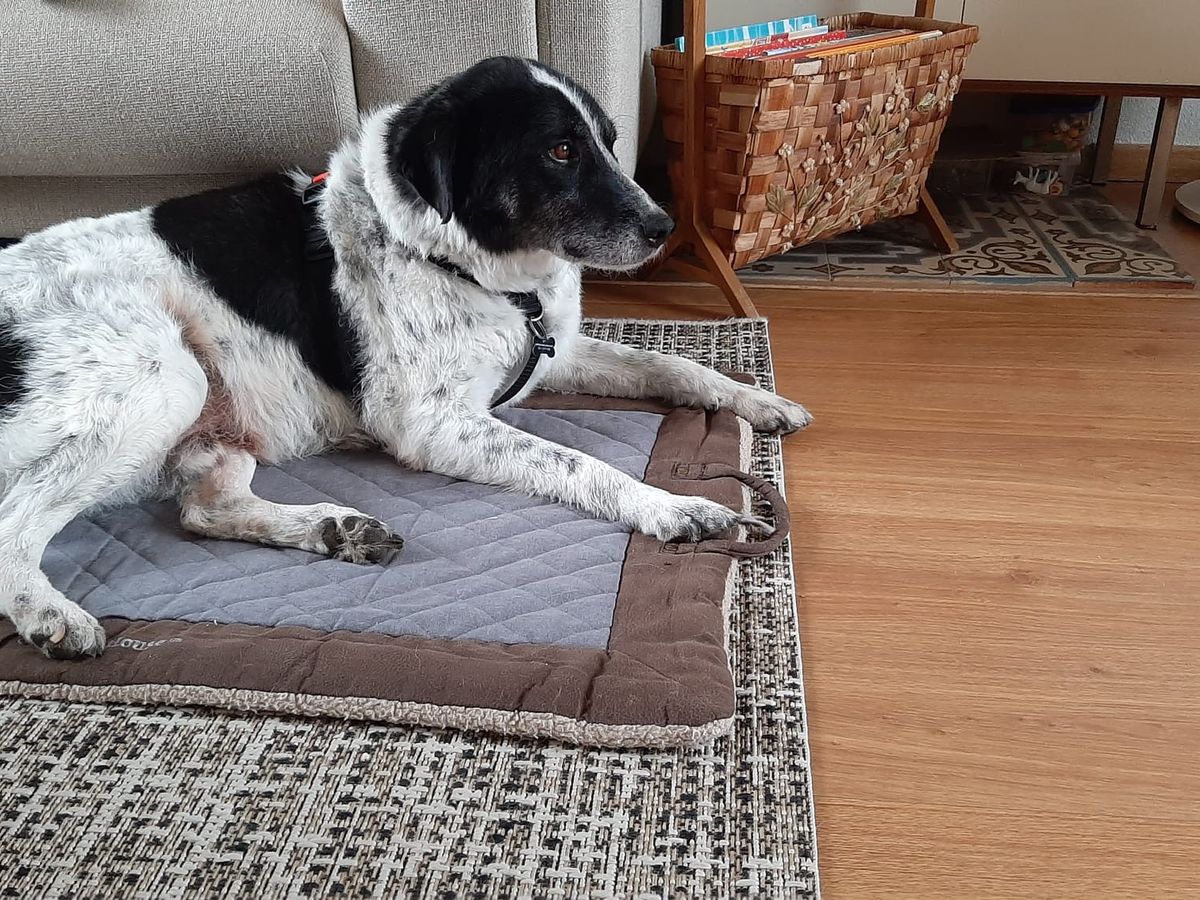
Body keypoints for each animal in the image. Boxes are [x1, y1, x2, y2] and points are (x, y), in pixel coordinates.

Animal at [0, 57, 810, 660]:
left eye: (610, 141)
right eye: (559, 150)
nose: (665, 226)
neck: (464, 262)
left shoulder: (556, 351)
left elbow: (676, 368)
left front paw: (756, 399)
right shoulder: (433, 424)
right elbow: (583, 464)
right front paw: (669, 506)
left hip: (211, 423)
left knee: (204, 508)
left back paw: (333, 530)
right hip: (164, 381)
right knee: (13, 525)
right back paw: (48, 613)